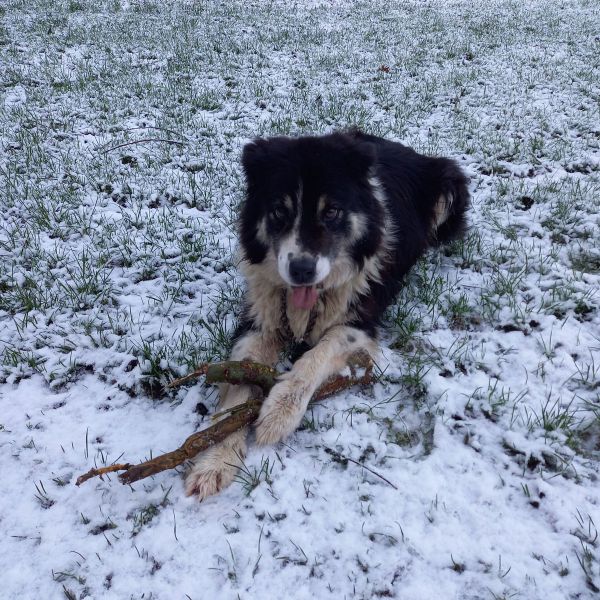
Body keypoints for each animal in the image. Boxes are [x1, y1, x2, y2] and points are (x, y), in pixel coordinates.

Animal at [185, 132, 472, 502]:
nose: (301, 270)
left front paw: (278, 414)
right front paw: (215, 460)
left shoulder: (360, 322)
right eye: (279, 211)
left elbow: (315, 357)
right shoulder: (260, 318)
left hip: (449, 185)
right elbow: (239, 385)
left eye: (332, 211)